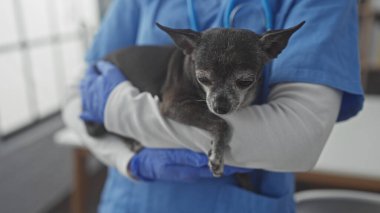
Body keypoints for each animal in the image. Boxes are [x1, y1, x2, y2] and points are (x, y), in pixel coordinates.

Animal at [84, 21, 304, 177]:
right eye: (203, 79)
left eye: (245, 81)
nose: (220, 106)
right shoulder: (173, 105)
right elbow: (222, 124)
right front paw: (217, 154)